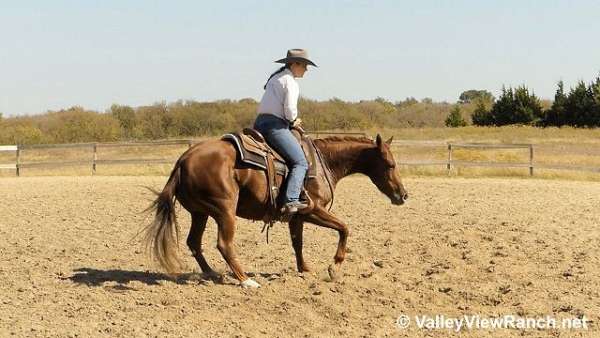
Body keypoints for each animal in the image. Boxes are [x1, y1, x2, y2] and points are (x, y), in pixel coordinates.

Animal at [144, 133, 408, 286]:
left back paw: (212, 274)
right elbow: (344, 228)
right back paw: (245, 280)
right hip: (224, 211)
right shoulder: (313, 210)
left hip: (201, 213)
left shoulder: (296, 217)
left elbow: (297, 243)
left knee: (193, 242)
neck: (322, 162)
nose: (403, 195)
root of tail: (183, 160)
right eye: (390, 164)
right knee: (224, 244)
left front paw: (304, 270)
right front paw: (334, 267)